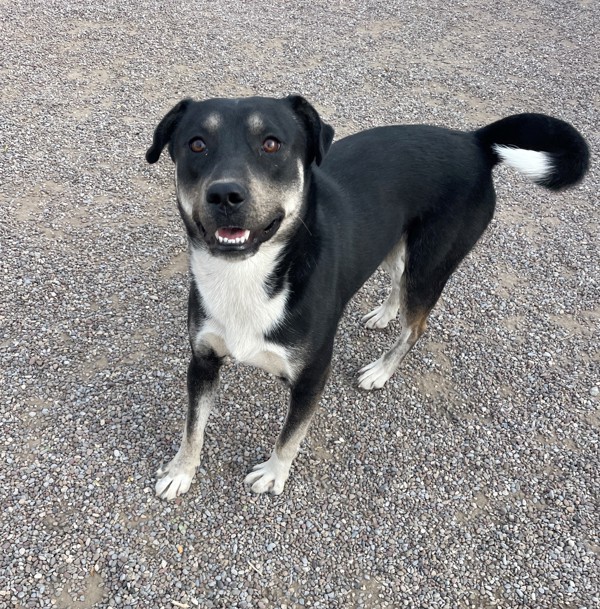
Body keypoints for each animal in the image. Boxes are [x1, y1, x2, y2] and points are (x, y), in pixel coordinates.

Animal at [144, 94, 584, 498]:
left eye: (271, 144)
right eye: (196, 144)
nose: (224, 195)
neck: (247, 274)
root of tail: (473, 141)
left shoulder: (311, 377)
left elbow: (290, 436)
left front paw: (273, 473)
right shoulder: (203, 360)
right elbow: (193, 426)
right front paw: (181, 471)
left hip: (431, 264)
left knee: (416, 325)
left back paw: (381, 370)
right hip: (392, 242)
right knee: (398, 282)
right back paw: (384, 314)